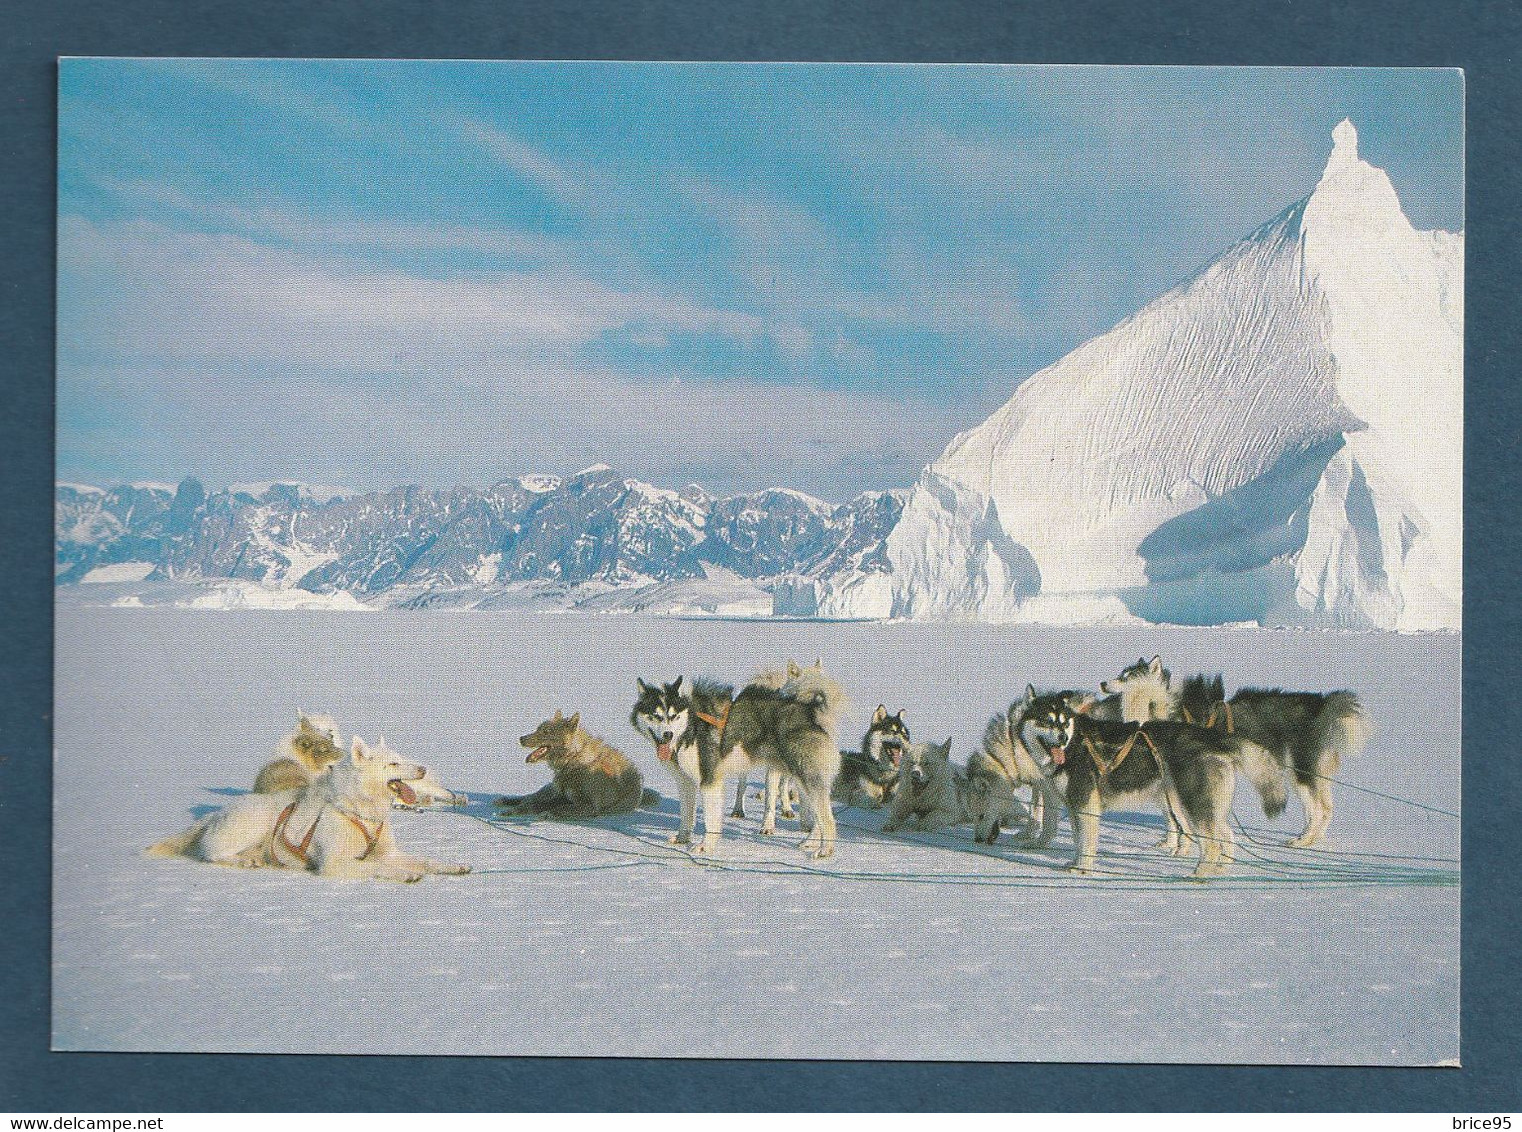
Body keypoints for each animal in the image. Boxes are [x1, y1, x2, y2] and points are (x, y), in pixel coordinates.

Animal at [493, 712, 648, 815]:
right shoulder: (561, 796)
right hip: (549, 790)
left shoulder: (588, 805)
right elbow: (536, 804)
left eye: (546, 732)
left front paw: (546, 813)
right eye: (538, 729)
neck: (574, 761)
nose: (521, 738)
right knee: (529, 797)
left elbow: (555, 808)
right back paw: (507, 801)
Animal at [1016, 684, 1278, 882]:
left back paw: (1199, 875)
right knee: (1227, 835)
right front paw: (1074, 863)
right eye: (1046, 721)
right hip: (1199, 805)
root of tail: (1210, 737)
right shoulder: (1075, 807)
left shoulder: (1085, 805)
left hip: (1192, 805)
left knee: (1212, 845)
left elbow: (1087, 842)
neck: (1075, 744)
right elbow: (1079, 840)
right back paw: (1220, 870)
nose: (1062, 738)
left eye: (1063, 722)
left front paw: (1083, 869)